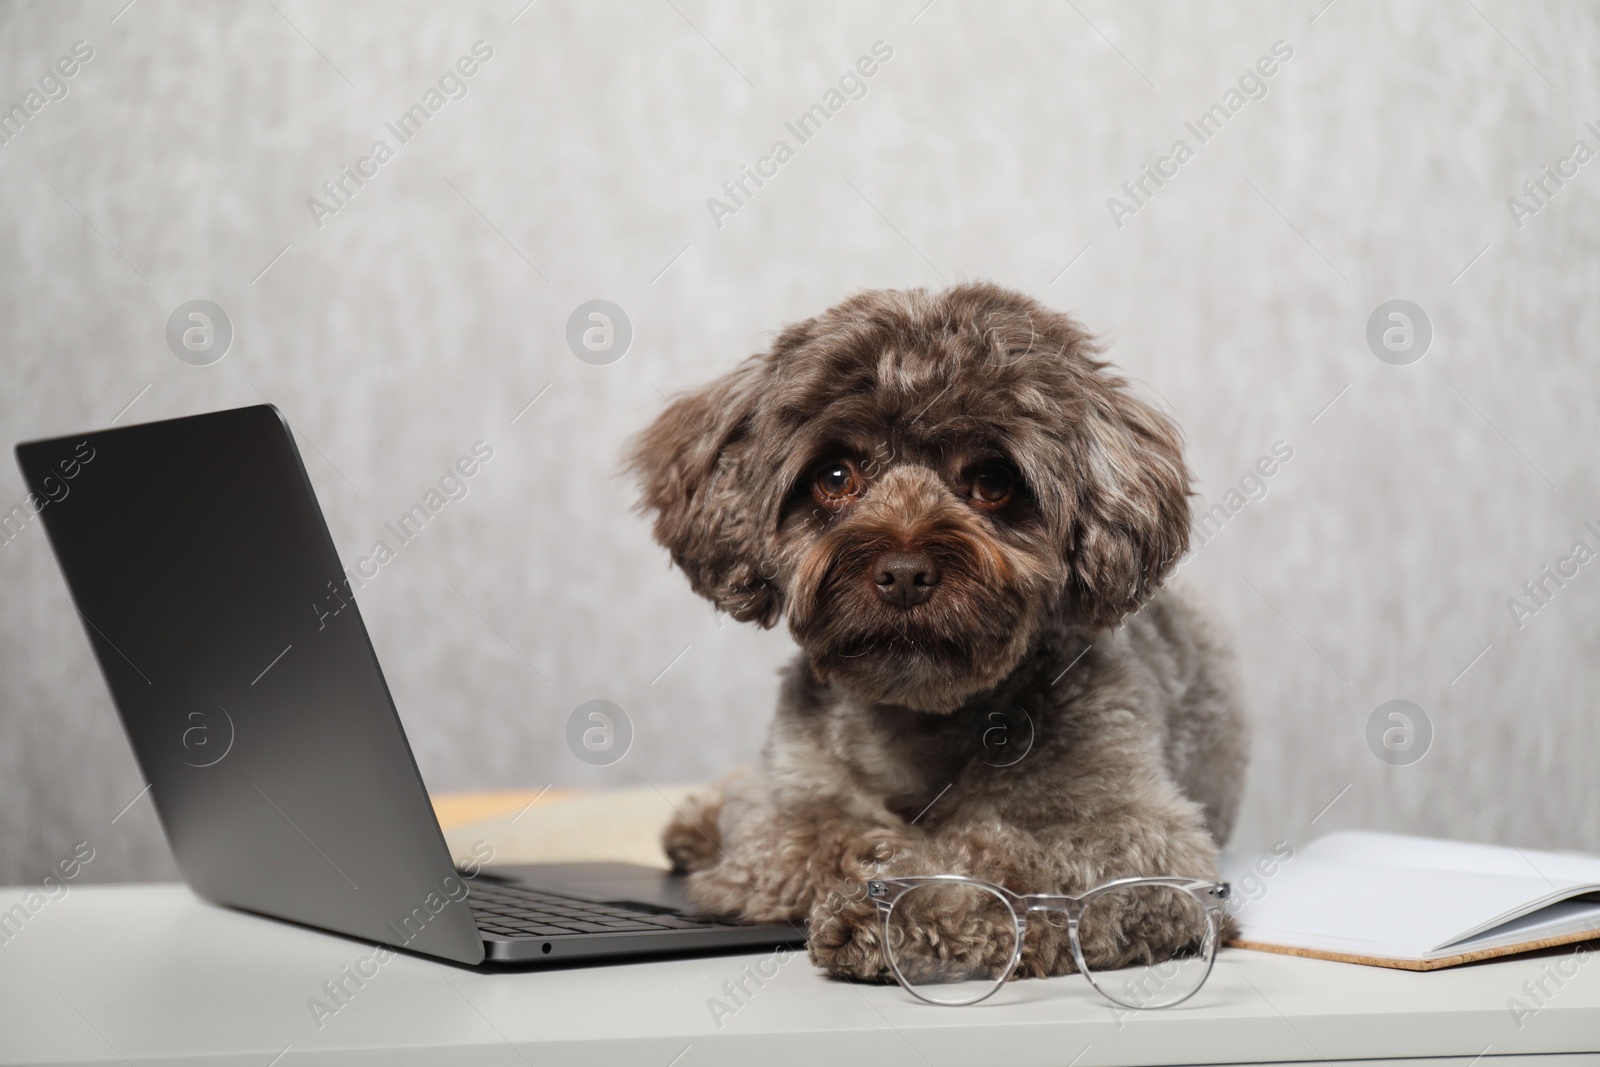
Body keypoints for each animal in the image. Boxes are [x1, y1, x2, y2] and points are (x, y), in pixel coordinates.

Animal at [624, 283, 1248, 985]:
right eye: (836, 477)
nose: (903, 573)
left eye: (993, 482)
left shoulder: (1149, 841)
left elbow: (1011, 860)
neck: (920, 720)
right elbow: (814, 835)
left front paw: (890, 908)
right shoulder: (789, 805)